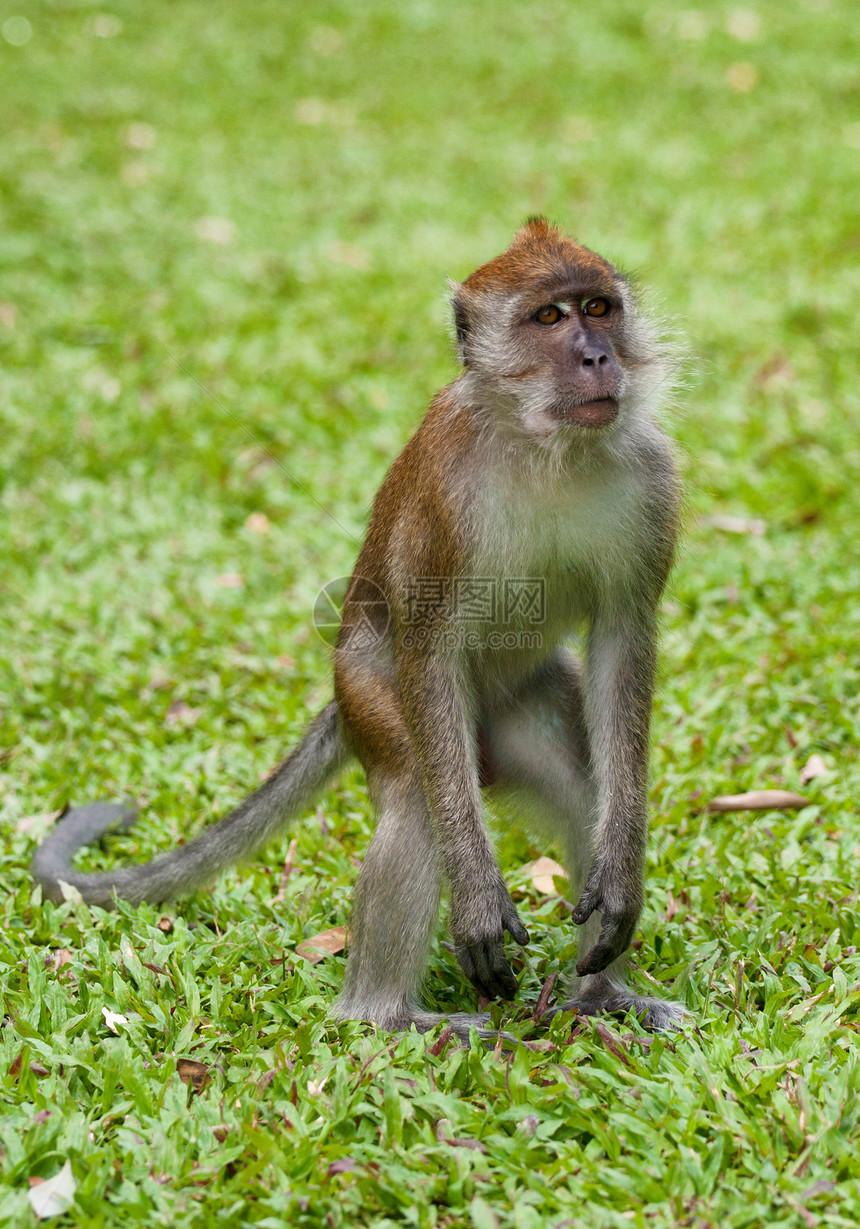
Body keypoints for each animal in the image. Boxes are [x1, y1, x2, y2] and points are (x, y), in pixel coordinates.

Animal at [31, 221, 683, 1037]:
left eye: (599, 307)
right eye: (548, 318)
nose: (598, 355)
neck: (544, 445)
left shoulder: (652, 477)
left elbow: (622, 643)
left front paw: (620, 884)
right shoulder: (444, 495)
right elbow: (429, 648)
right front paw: (477, 902)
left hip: (522, 707)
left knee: (580, 783)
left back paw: (600, 995)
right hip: (372, 695)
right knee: (414, 797)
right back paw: (387, 1015)